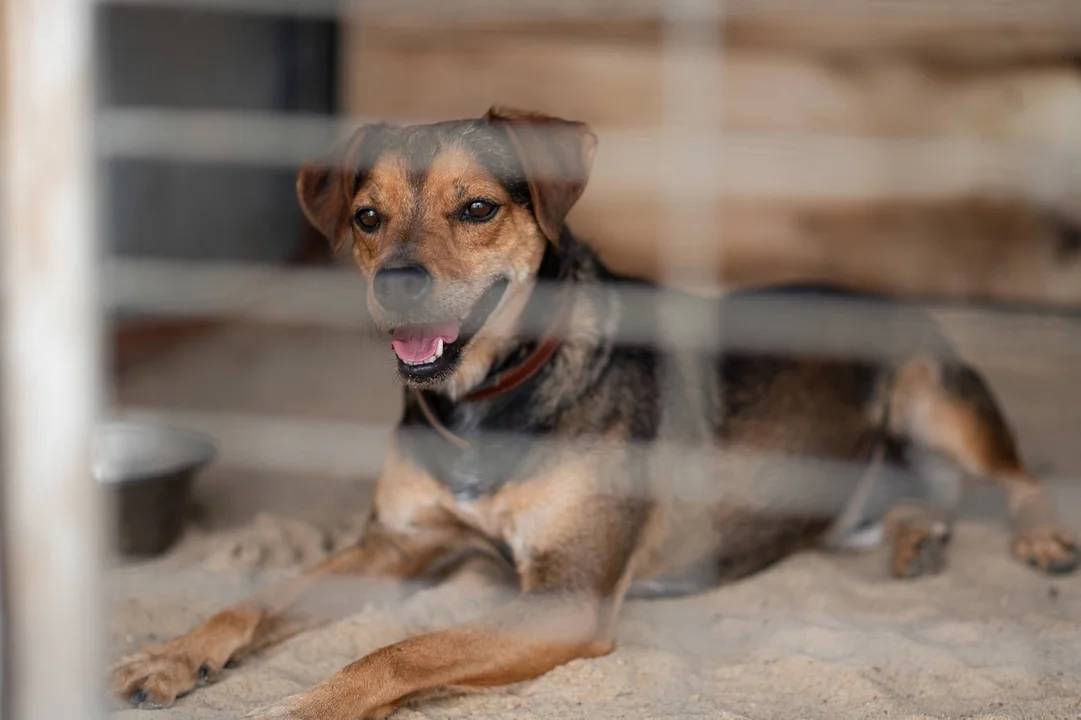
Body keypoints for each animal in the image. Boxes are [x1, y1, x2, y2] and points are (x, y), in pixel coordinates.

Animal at [111, 108, 1081, 717]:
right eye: (366, 217)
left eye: (477, 208)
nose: (397, 283)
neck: (484, 405)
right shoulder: (395, 545)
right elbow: (253, 601)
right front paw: (171, 655)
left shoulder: (567, 598)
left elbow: (396, 650)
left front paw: (301, 705)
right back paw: (919, 538)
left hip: (934, 393)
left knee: (1014, 473)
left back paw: (1036, 539)